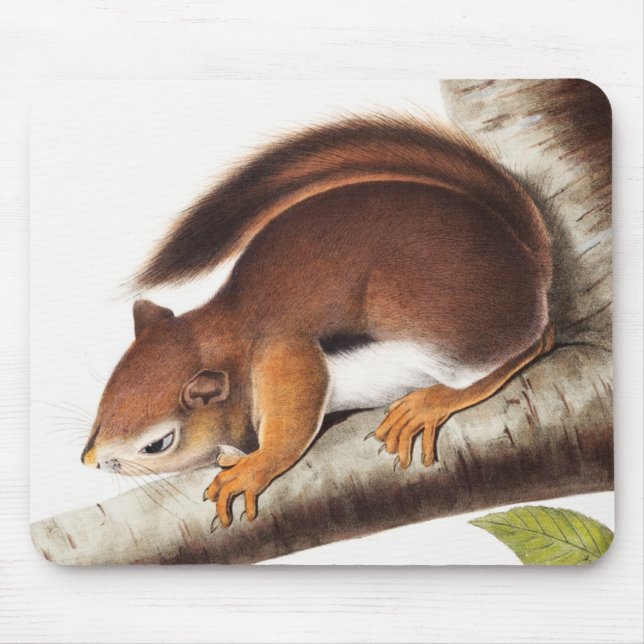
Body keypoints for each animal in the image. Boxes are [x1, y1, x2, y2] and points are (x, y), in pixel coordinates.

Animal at [81, 115, 554, 529]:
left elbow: (291, 424)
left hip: (444, 329)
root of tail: (529, 264)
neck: (228, 334)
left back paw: (429, 403)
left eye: (157, 444)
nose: (90, 460)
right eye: (107, 397)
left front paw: (251, 468)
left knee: (535, 343)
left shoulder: (285, 354)